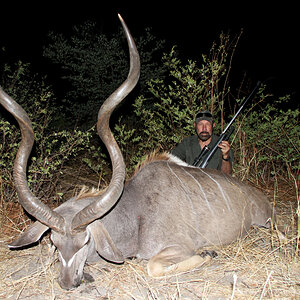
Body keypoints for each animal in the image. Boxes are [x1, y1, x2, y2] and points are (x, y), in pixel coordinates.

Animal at [0, 14, 272, 290]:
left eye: (85, 241)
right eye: (54, 242)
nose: (68, 282)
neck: (136, 213)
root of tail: (261, 197)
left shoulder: (178, 247)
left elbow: (154, 266)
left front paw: (207, 254)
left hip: (266, 224)